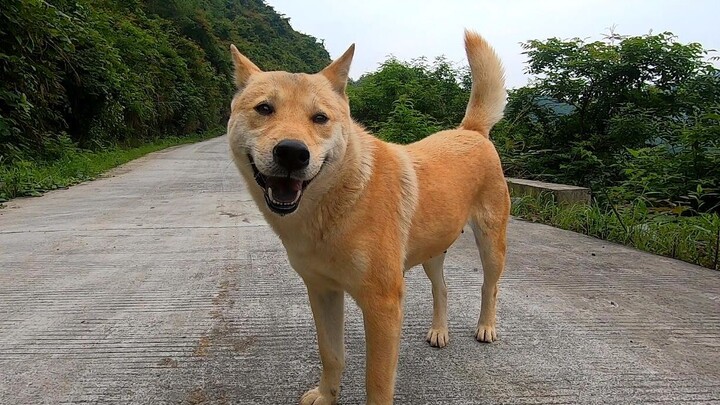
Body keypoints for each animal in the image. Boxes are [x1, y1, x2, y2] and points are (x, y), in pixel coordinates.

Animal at [228, 30, 510, 402]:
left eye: (320, 118)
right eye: (264, 108)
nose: (291, 152)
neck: (337, 204)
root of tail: (471, 130)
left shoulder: (383, 305)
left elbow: (377, 381)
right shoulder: (322, 291)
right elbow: (331, 353)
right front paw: (326, 395)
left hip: (491, 244)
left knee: (489, 286)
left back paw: (487, 326)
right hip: (433, 250)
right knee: (442, 288)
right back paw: (439, 330)